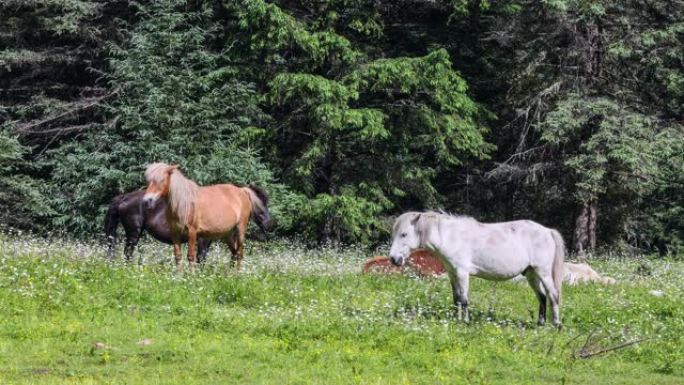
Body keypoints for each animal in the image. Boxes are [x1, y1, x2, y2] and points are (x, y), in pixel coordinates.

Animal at [142, 161, 272, 270]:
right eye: (149, 181)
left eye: (161, 180)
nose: (147, 200)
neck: (184, 203)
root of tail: (242, 191)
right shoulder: (175, 233)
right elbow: (178, 256)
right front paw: (179, 276)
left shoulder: (192, 232)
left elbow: (191, 256)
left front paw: (191, 277)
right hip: (228, 234)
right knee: (234, 253)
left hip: (240, 230)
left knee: (239, 254)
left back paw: (237, 275)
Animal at [390, 212, 568, 326]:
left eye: (404, 234)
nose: (393, 259)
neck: (451, 237)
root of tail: (548, 231)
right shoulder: (452, 274)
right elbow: (456, 299)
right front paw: (457, 320)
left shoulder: (462, 272)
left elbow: (464, 299)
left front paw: (465, 322)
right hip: (531, 274)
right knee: (542, 297)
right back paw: (540, 323)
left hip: (543, 273)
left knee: (553, 295)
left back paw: (556, 324)